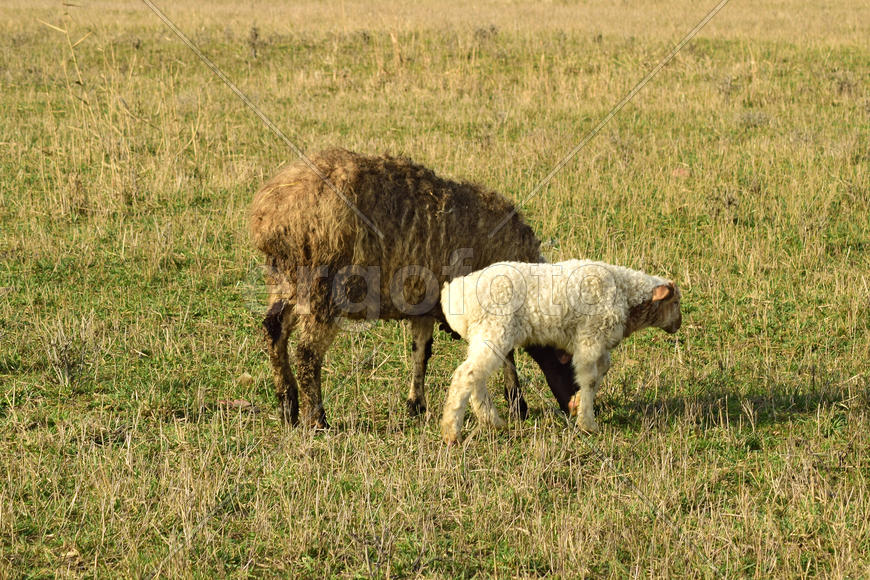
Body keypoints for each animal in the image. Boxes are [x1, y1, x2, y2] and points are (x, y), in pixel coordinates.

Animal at [249, 148, 580, 428]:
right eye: (570, 361)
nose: (575, 408)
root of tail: (270, 212)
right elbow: (505, 355)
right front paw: (517, 405)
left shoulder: (424, 303)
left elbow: (421, 351)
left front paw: (415, 404)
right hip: (322, 288)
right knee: (307, 353)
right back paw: (317, 420)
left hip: (285, 282)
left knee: (273, 331)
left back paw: (288, 407)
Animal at [439, 259, 682, 443]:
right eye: (676, 302)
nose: (678, 324)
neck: (624, 293)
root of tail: (457, 291)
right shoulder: (590, 338)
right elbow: (589, 378)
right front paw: (587, 423)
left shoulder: (598, 343)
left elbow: (602, 370)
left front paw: (576, 404)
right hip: (494, 331)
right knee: (466, 374)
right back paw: (452, 433)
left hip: (483, 336)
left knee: (475, 377)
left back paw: (492, 422)